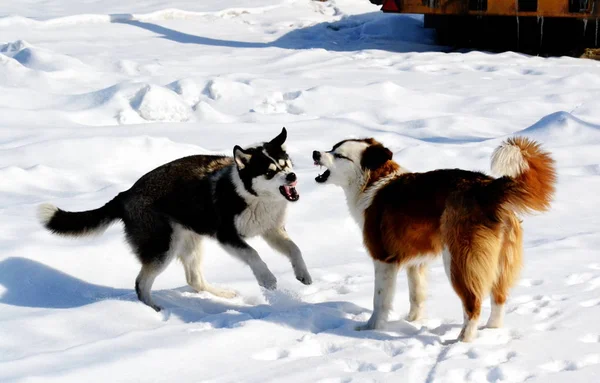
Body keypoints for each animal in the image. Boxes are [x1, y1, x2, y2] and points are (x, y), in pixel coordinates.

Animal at [312, 137, 556, 342]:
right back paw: (491, 330)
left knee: (473, 304)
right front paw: (412, 322)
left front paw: (370, 328)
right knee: (499, 298)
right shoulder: (416, 262)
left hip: (459, 261)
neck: (373, 182)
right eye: (332, 148)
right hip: (501, 262)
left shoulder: (383, 260)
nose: (315, 153)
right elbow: (417, 296)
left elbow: (379, 301)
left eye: (340, 155)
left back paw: (462, 341)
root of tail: (487, 189)